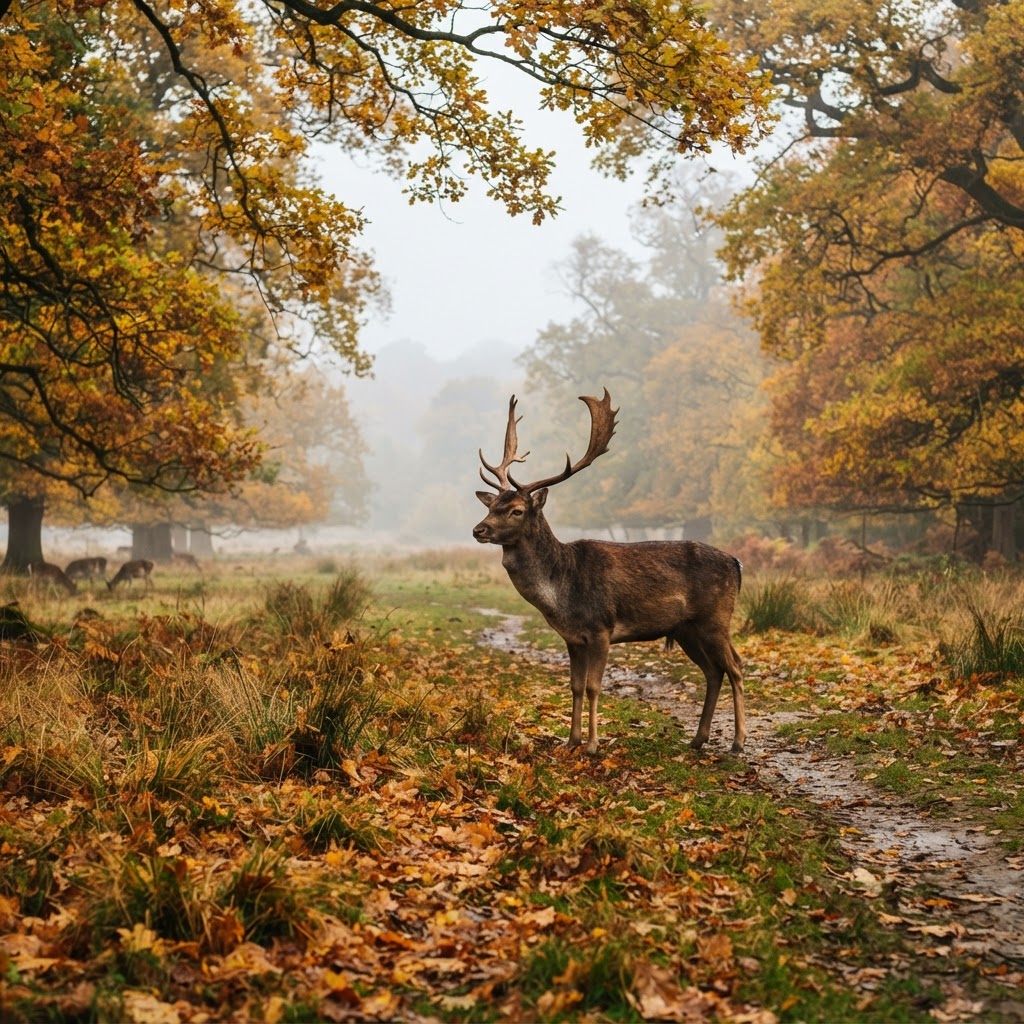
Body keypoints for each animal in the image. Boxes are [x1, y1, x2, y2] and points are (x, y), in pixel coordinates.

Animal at [472, 390, 745, 756]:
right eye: (490, 506)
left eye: (516, 510)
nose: (478, 530)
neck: (563, 591)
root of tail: (737, 564)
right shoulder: (573, 638)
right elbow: (574, 686)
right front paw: (570, 742)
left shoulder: (601, 627)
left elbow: (593, 687)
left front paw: (592, 745)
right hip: (687, 629)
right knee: (714, 671)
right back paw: (698, 738)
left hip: (716, 617)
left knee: (735, 667)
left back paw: (739, 742)